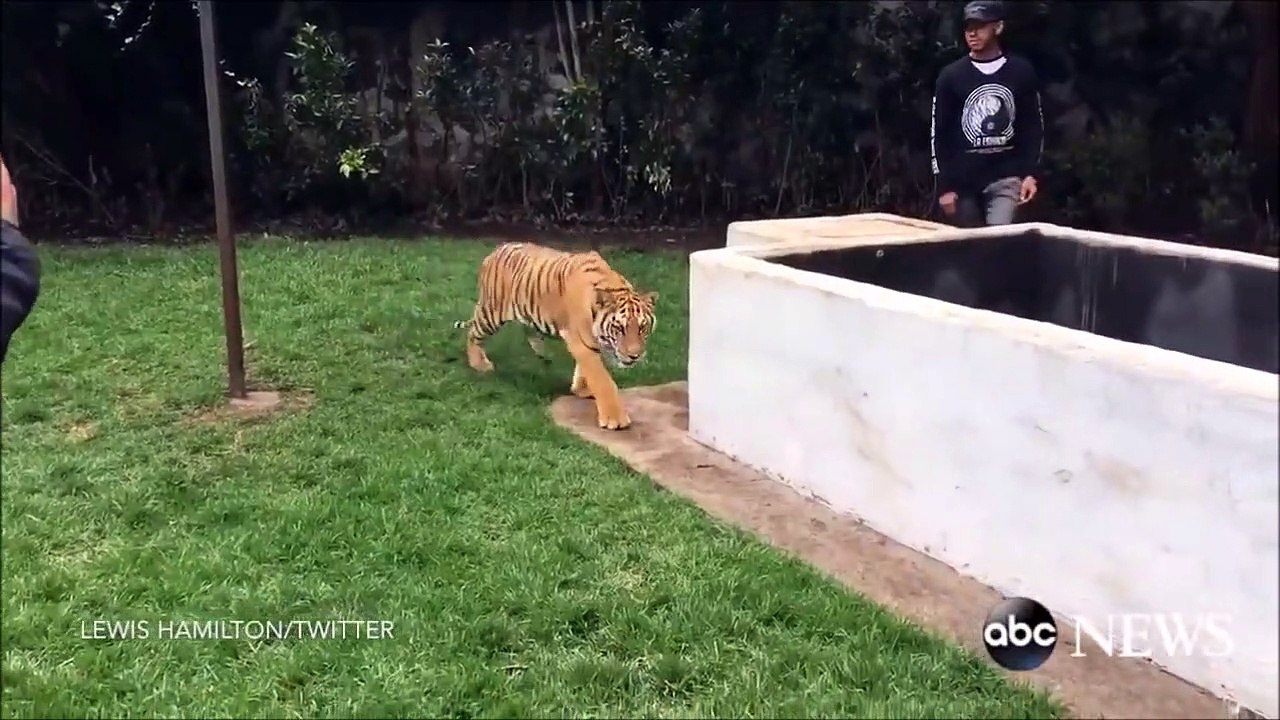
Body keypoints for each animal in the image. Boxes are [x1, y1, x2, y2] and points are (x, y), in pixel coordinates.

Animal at [453, 241, 659, 431]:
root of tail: (493, 252)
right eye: (620, 328)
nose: (635, 355)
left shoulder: (588, 343)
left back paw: (543, 353)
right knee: (473, 333)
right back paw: (479, 364)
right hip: (492, 314)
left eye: (642, 328)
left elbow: (585, 369)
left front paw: (581, 389)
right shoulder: (581, 341)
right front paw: (615, 419)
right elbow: (601, 378)